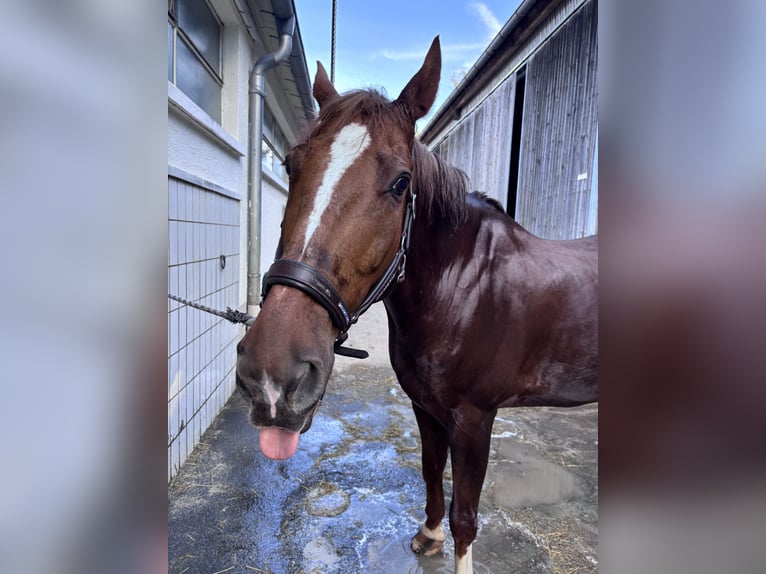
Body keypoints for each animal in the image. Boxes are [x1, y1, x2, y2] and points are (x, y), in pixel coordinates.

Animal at [235, 36, 598, 574]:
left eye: (401, 182)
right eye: (290, 164)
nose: (272, 374)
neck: (463, 286)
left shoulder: (475, 420)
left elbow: (466, 515)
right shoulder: (425, 407)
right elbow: (430, 472)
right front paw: (428, 535)